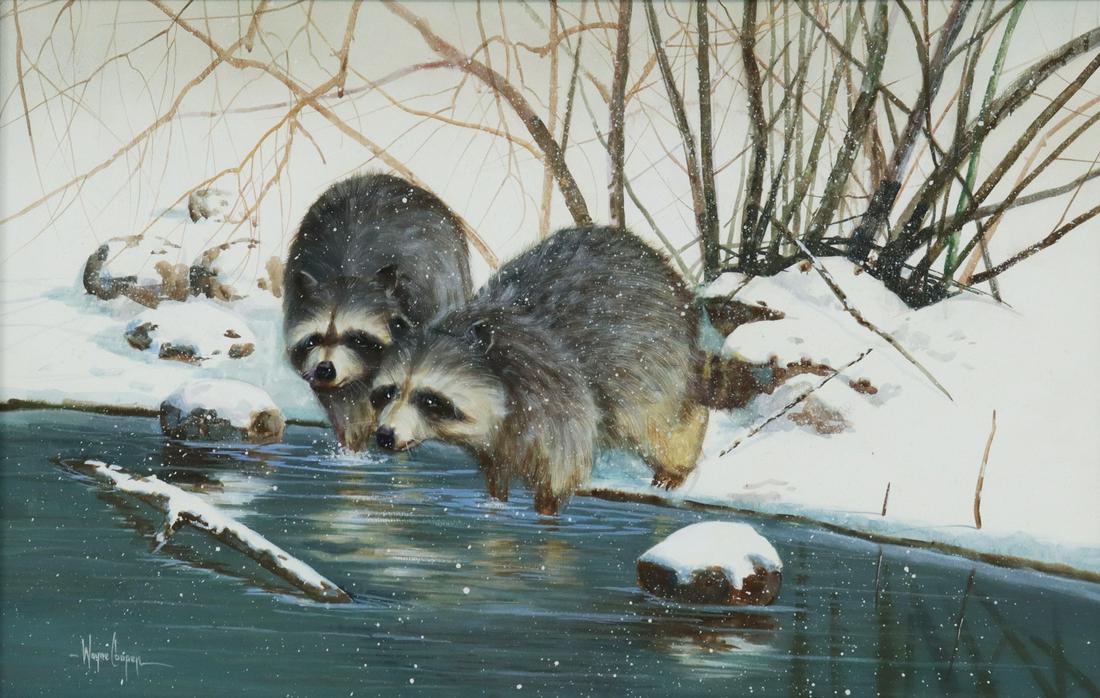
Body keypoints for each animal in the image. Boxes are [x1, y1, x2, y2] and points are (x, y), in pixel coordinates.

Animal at [283, 173, 472, 450]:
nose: (325, 369)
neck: (347, 272)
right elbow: (345, 404)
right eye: (313, 339)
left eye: (356, 338)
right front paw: (354, 444)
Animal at [368, 225, 709, 514]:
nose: (384, 436)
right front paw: (496, 504)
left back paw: (679, 459)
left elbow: (561, 469)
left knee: (658, 421)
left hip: (655, 356)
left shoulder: (555, 395)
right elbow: (496, 471)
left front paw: (545, 512)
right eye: (387, 392)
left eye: (429, 399)